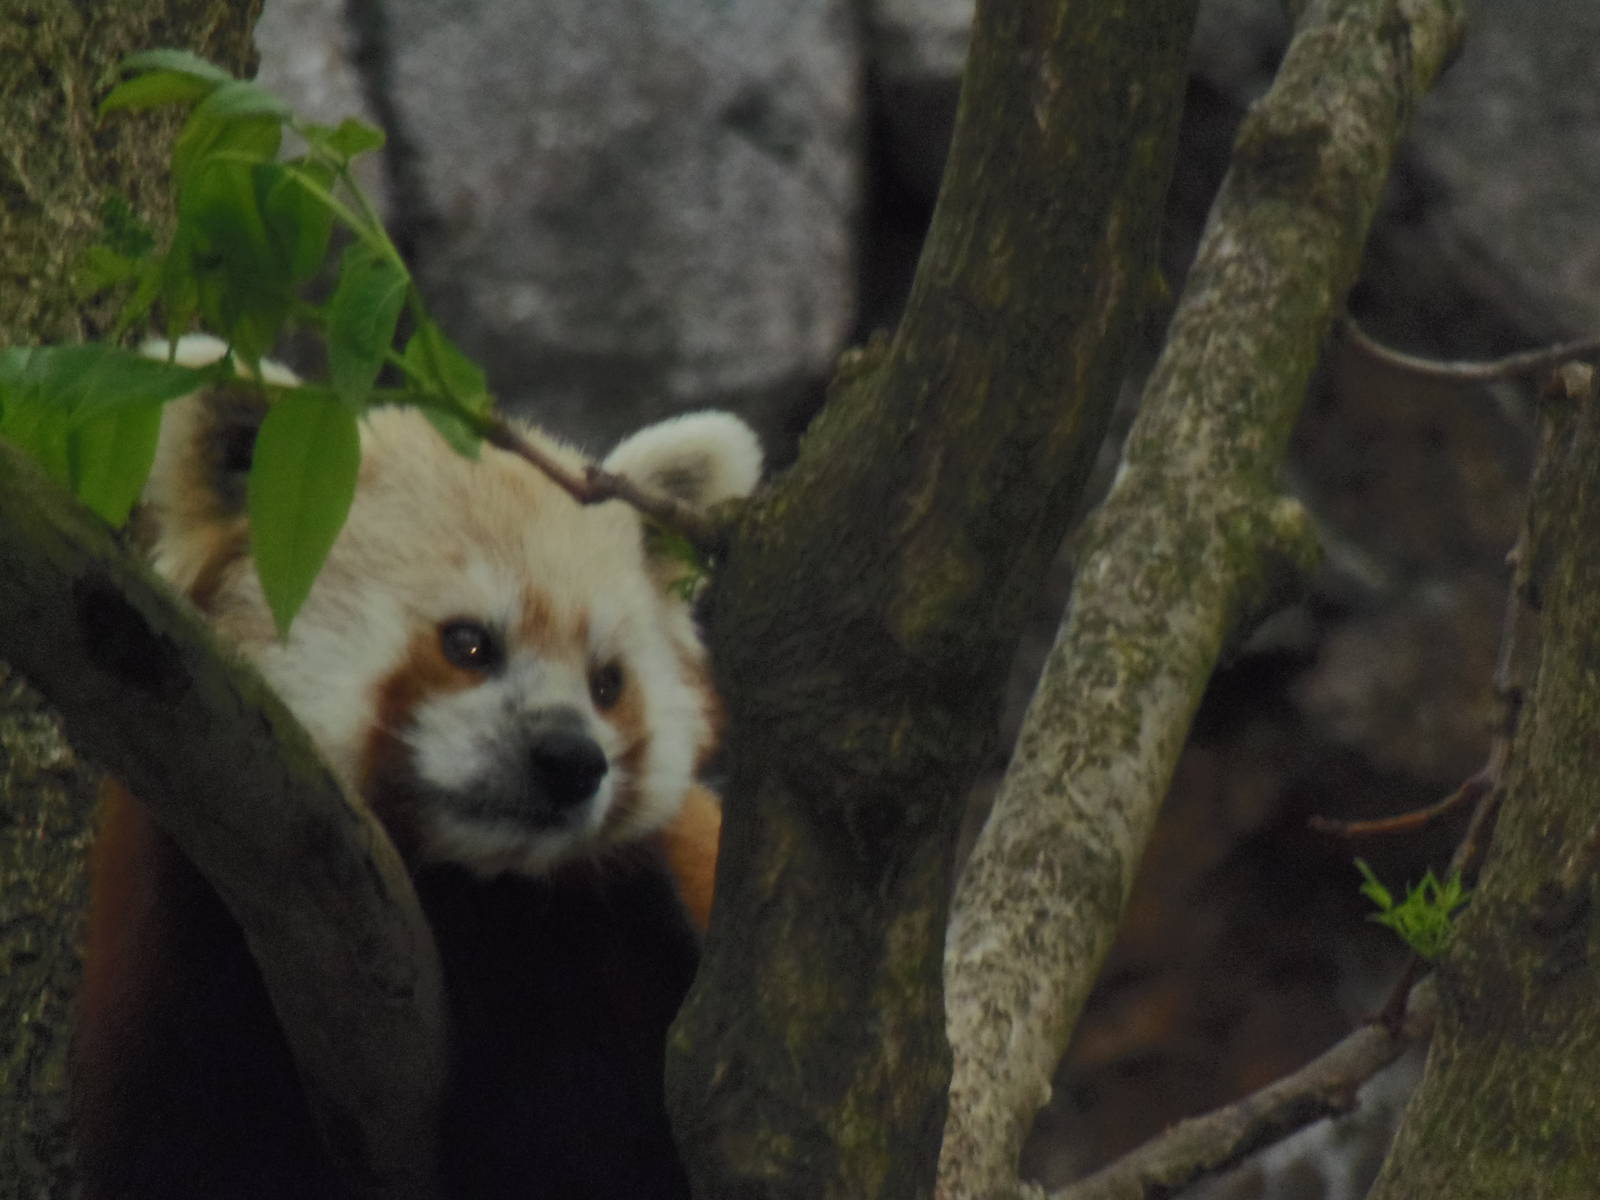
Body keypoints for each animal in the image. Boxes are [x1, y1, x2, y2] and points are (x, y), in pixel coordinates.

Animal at [73, 336, 759, 1199]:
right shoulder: (182, 956)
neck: (460, 898)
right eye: (468, 643)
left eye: (608, 683)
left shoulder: (607, 946)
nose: (570, 759)